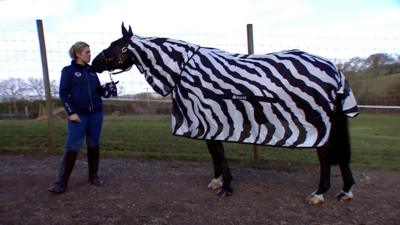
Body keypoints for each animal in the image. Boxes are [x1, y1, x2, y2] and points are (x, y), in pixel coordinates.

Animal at [92, 23, 358, 205]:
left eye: (117, 46)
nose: (95, 63)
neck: (183, 69)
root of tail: (334, 70)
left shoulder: (211, 117)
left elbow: (218, 152)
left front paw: (226, 186)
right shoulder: (208, 122)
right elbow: (214, 152)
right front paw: (218, 180)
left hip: (318, 123)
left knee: (325, 155)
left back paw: (319, 193)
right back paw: (345, 191)